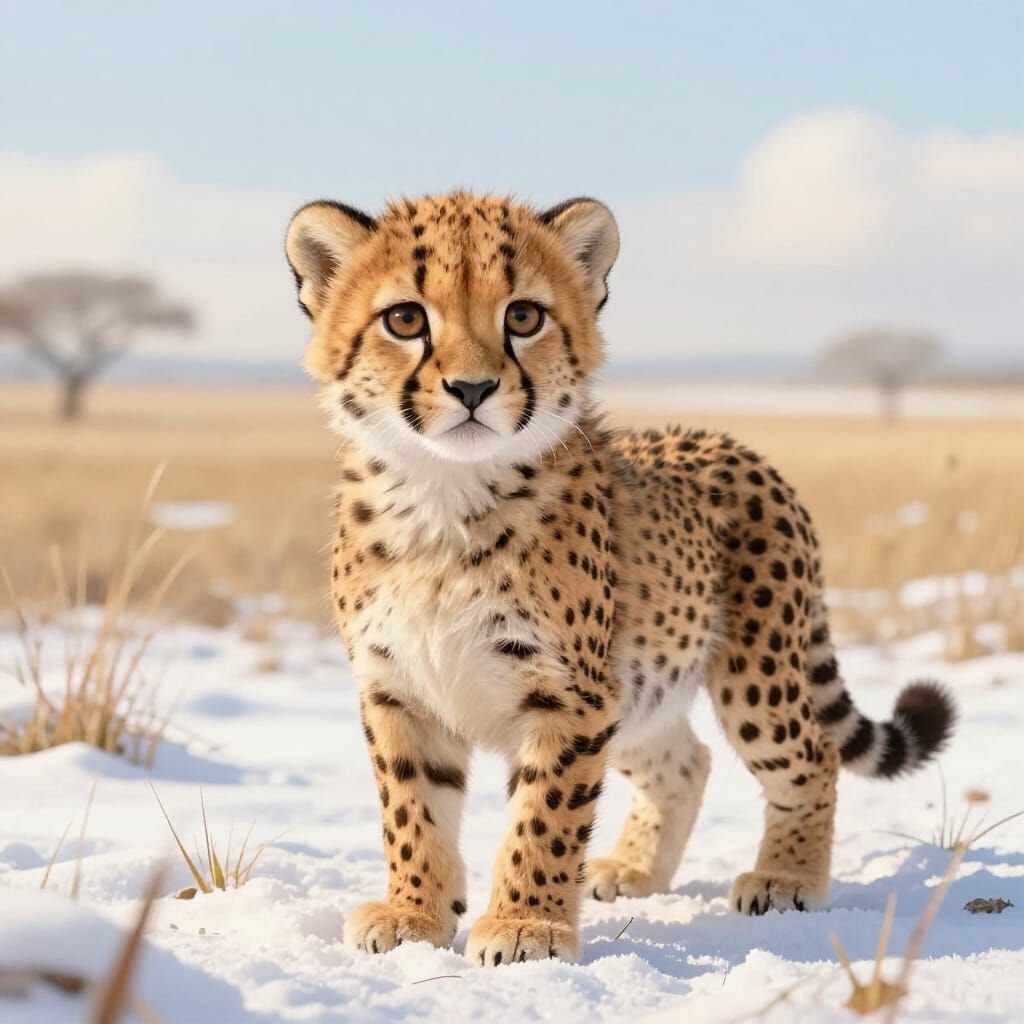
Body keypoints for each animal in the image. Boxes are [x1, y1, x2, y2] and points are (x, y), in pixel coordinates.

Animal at [284, 190, 955, 966]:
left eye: (523, 316)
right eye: (405, 319)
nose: (473, 388)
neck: (444, 495)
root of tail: (731, 442)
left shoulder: (569, 696)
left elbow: (543, 815)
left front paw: (526, 925)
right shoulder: (400, 687)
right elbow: (411, 809)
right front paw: (414, 912)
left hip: (750, 674)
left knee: (809, 753)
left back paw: (786, 877)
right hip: (640, 685)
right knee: (686, 762)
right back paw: (636, 869)